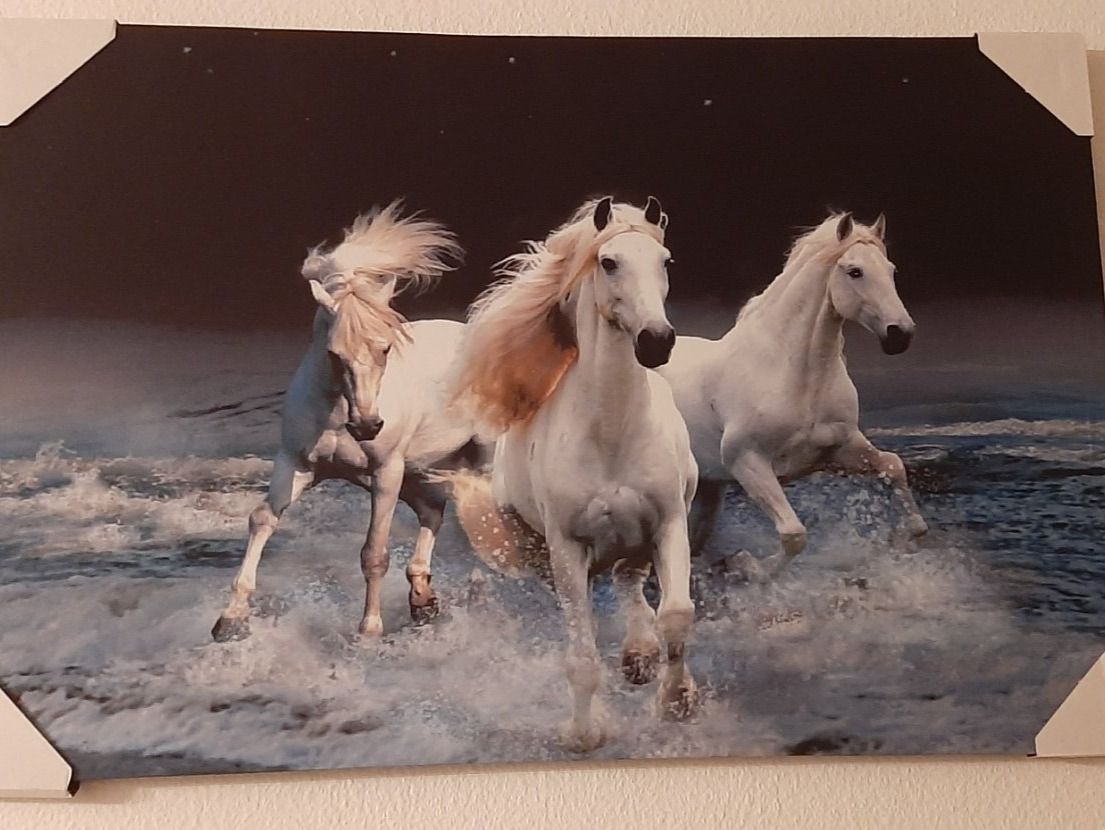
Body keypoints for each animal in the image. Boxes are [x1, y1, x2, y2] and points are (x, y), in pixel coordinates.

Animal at [211, 201, 480, 642]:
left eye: (385, 349)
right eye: (334, 353)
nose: (368, 426)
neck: (337, 415)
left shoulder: (386, 473)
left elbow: (375, 553)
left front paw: (369, 631)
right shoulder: (297, 465)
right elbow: (262, 519)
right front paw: (230, 619)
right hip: (420, 471)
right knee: (433, 512)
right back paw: (423, 599)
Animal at [446, 196, 699, 751]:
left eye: (667, 260)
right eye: (609, 262)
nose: (656, 342)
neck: (611, 432)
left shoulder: (670, 523)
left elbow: (676, 617)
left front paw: (677, 702)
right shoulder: (568, 546)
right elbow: (582, 656)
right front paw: (586, 733)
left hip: (639, 536)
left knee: (631, 582)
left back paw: (639, 656)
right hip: (542, 551)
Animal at [659, 211, 928, 577]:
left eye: (891, 270)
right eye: (855, 271)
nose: (900, 334)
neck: (795, 376)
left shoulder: (841, 447)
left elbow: (893, 466)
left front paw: (904, 538)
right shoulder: (748, 462)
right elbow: (794, 535)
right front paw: (748, 566)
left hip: (708, 490)